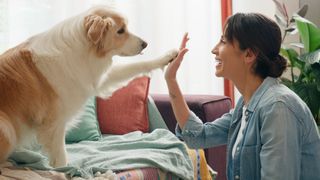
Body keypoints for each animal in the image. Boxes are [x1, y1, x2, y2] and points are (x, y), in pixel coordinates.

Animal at [0, 6, 178, 168]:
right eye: (120, 30)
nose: (145, 44)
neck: (83, 49)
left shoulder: (96, 79)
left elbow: (137, 65)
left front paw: (166, 57)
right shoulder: (55, 123)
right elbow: (61, 158)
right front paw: (63, 170)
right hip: (7, 128)